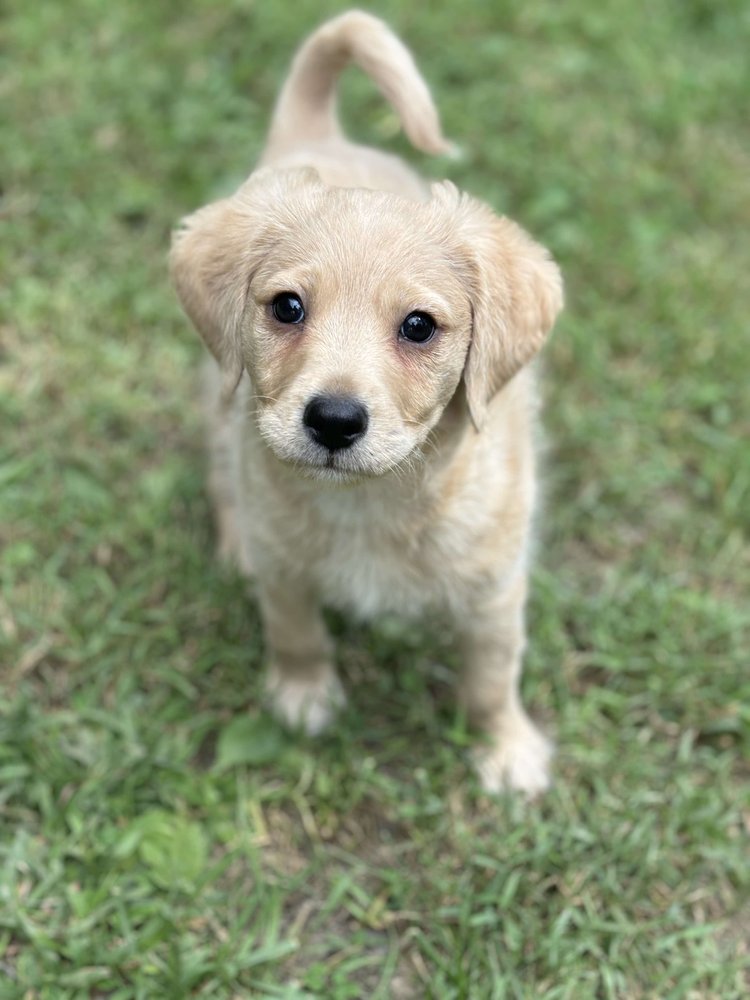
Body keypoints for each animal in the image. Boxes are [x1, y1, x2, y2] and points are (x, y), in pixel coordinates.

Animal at [170, 5, 568, 788]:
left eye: (419, 326)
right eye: (287, 307)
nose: (333, 420)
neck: (371, 503)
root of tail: (319, 134)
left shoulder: (495, 590)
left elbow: (491, 677)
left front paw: (506, 749)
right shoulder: (286, 565)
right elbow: (295, 630)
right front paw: (303, 698)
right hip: (216, 392)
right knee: (222, 476)